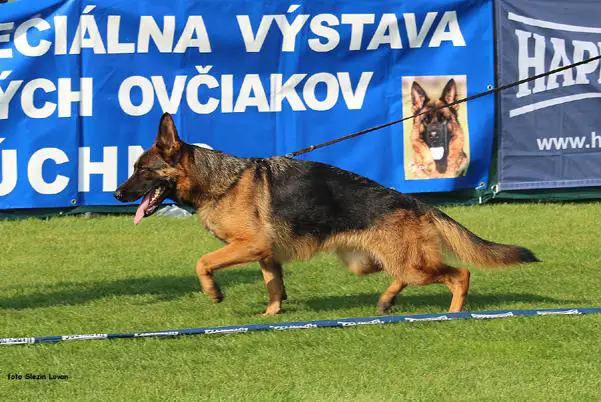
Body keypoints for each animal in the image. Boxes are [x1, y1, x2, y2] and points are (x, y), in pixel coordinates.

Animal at [114, 113, 538, 315]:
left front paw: (214, 292)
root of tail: (415, 201)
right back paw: (386, 302)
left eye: (143, 171)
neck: (222, 181)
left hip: (409, 264)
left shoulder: (249, 245)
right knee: (402, 276)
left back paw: (453, 313)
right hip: (370, 261)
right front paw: (272, 314)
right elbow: (273, 285)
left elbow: (203, 262)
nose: (117, 193)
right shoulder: (265, 254)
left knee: (459, 274)